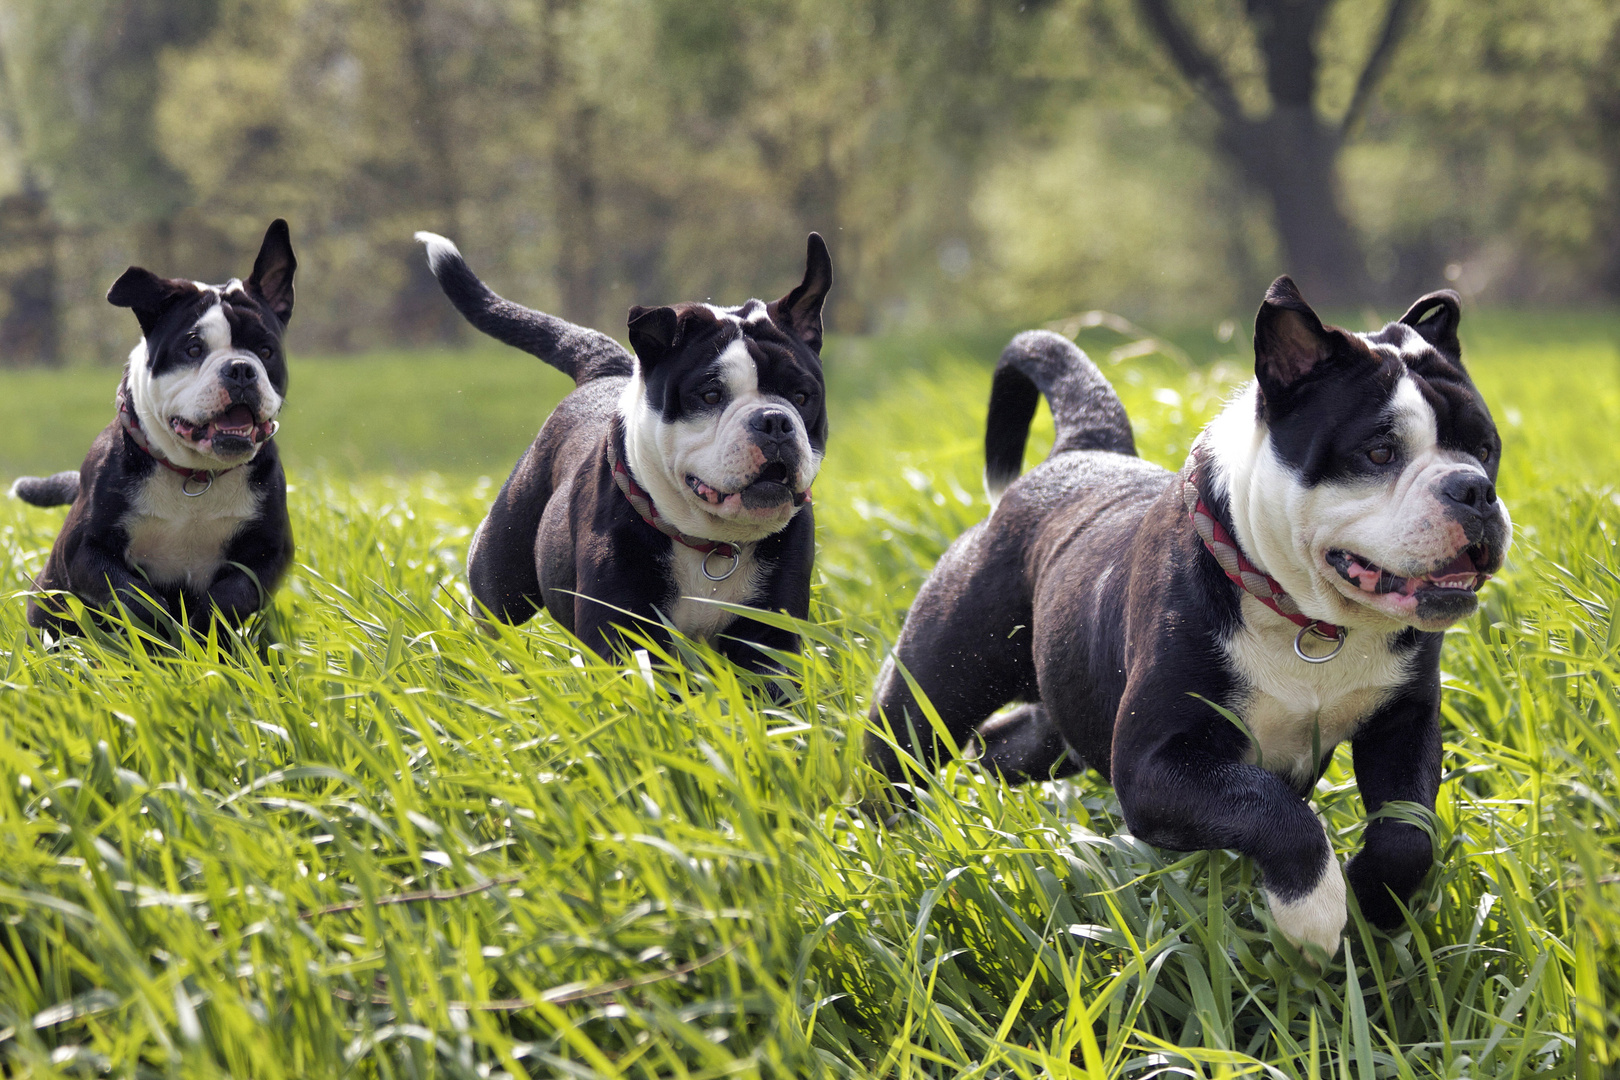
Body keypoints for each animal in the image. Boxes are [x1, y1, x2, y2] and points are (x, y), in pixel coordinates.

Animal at [11, 223, 298, 637]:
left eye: (266, 350)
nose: (241, 369)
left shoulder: (269, 552)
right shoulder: (85, 553)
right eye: (193, 349)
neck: (195, 475)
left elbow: (231, 594)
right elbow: (138, 598)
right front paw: (165, 634)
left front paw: (203, 631)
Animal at [417, 229, 829, 670]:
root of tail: (605, 371)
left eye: (802, 396)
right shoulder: (621, 633)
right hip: (504, 571)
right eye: (711, 394)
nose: (774, 421)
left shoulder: (769, 636)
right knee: (493, 612)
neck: (711, 544)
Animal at [868, 276, 1509, 952]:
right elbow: (1273, 808)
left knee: (1000, 748)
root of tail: (1077, 452)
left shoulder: (1405, 724)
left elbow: (1408, 832)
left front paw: (1374, 901)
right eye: (1380, 452)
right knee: (895, 761)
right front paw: (1311, 913)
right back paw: (881, 850)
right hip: (934, 687)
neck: (1308, 620)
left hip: (1058, 719)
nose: (1474, 489)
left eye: (1486, 449)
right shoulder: (1155, 766)